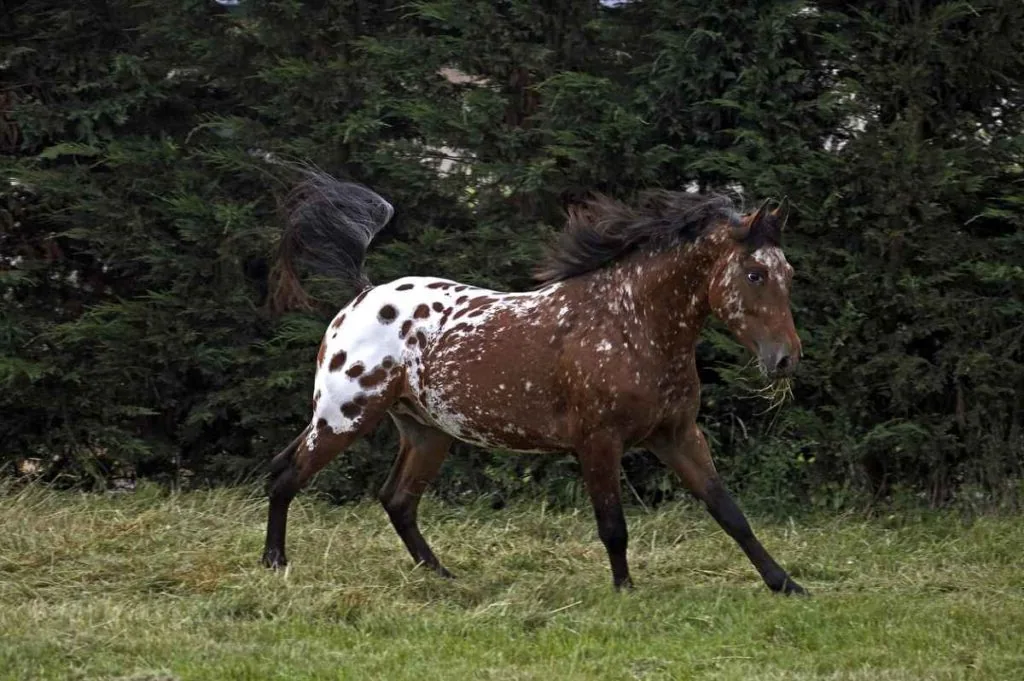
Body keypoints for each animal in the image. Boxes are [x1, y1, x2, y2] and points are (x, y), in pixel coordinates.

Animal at [262, 169, 806, 595]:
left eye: (789, 272)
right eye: (755, 274)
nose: (785, 360)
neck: (629, 322)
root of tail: (362, 297)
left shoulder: (676, 435)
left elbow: (728, 511)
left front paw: (786, 584)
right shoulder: (598, 441)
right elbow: (613, 526)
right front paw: (625, 591)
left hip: (425, 432)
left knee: (396, 500)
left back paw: (443, 577)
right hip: (344, 417)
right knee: (286, 474)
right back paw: (275, 564)